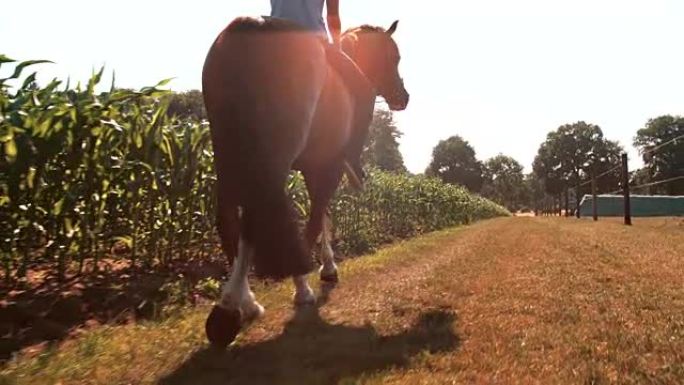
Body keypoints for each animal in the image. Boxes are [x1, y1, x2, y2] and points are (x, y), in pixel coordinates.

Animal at [200, 17, 408, 348]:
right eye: (395, 57)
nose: (403, 97)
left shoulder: (313, 168)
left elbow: (322, 216)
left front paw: (324, 269)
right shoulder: (327, 166)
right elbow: (315, 219)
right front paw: (311, 280)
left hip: (228, 150)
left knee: (229, 218)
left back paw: (244, 302)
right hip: (271, 155)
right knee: (255, 219)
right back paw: (232, 308)